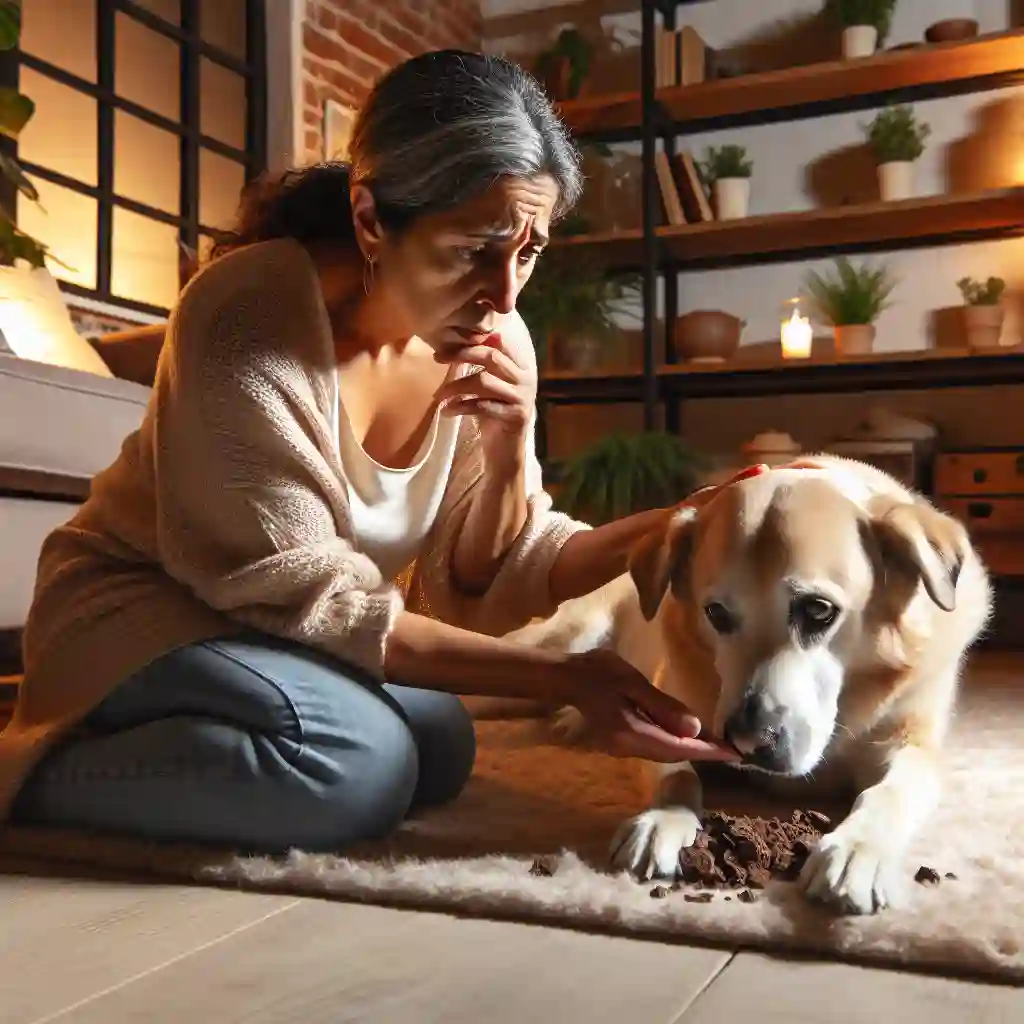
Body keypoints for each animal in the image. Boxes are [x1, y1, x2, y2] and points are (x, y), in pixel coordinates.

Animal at [507, 456, 995, 913]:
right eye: (716, 614)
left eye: (819, 611)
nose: (747, 743)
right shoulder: (663, 722)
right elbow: (677, 775)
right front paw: (664, 819)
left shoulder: (912, 747)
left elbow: (888, 793)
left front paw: (857, 849)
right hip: (565, 636)